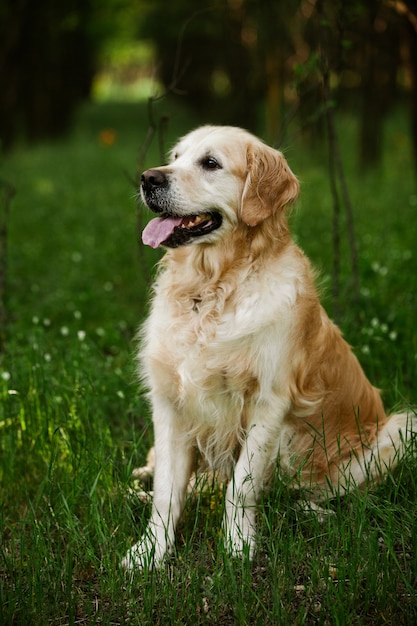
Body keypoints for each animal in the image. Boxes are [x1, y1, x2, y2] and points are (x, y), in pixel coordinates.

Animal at [120, 124, 412, 568]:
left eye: (210, 163)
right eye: (175, 157)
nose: (148, 178)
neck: (212, 289)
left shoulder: (268, 402)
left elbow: (241, 487)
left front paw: (237, 547)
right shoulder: (171, 402)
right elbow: (168, 493)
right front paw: (149, 554)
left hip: (398, 431)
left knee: (320, 491)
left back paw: (314, 512)